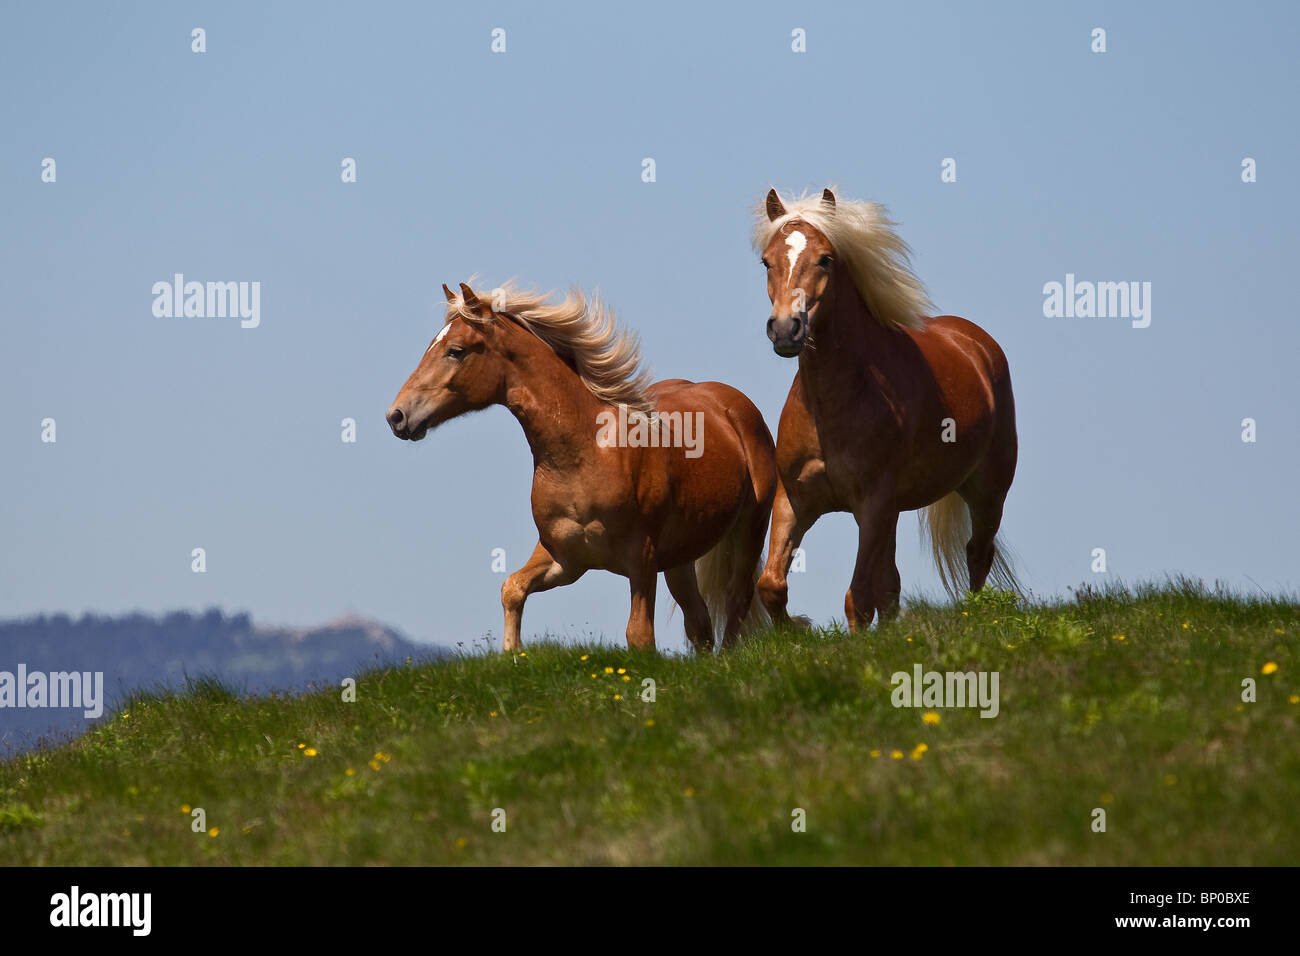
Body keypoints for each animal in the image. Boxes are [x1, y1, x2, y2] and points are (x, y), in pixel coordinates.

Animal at [386, 281, 777, 653]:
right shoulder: (565, 558)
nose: (397, 416)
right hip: (680, 558)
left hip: (749, 529)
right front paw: (512, 653)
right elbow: (512, 588)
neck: (586, 455)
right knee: (700, 622)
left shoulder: (641, 559)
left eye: (456, 350)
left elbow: (639, 635)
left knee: (736, 600)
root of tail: (731, 403)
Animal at [752, 188, 1020, 631]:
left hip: (987, 491)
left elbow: (858, 597)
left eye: (825, 259)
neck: (831, 407)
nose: (786, 329)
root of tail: (975, 343)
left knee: (978, 554)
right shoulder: (795, 501)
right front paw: (797, 629)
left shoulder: (873, 505)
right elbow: (771, 585)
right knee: (892, 582)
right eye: (767, 261)